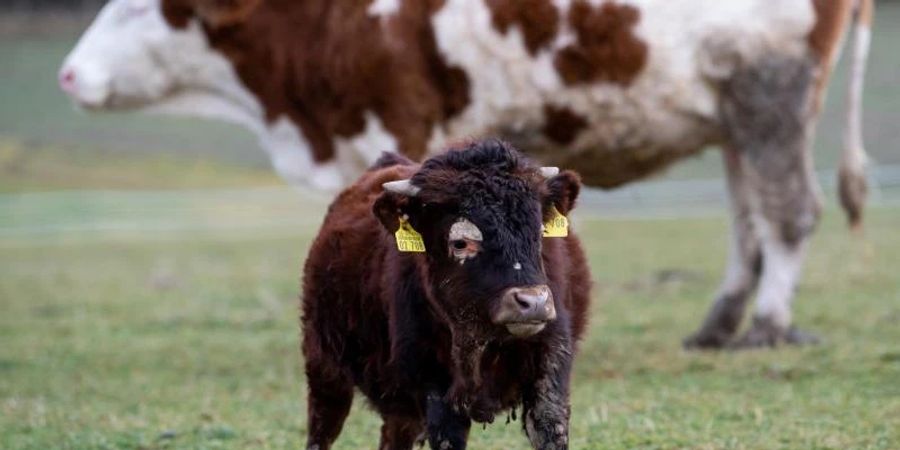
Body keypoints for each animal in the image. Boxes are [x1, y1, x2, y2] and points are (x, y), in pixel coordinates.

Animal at [58, 0, 872, 348]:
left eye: (135, 11)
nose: (66, 74)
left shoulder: (397, 118)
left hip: (770, 95)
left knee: (789, 212)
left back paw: (767, 325)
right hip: (736, 119)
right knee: (749, 220)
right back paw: (718, 322)